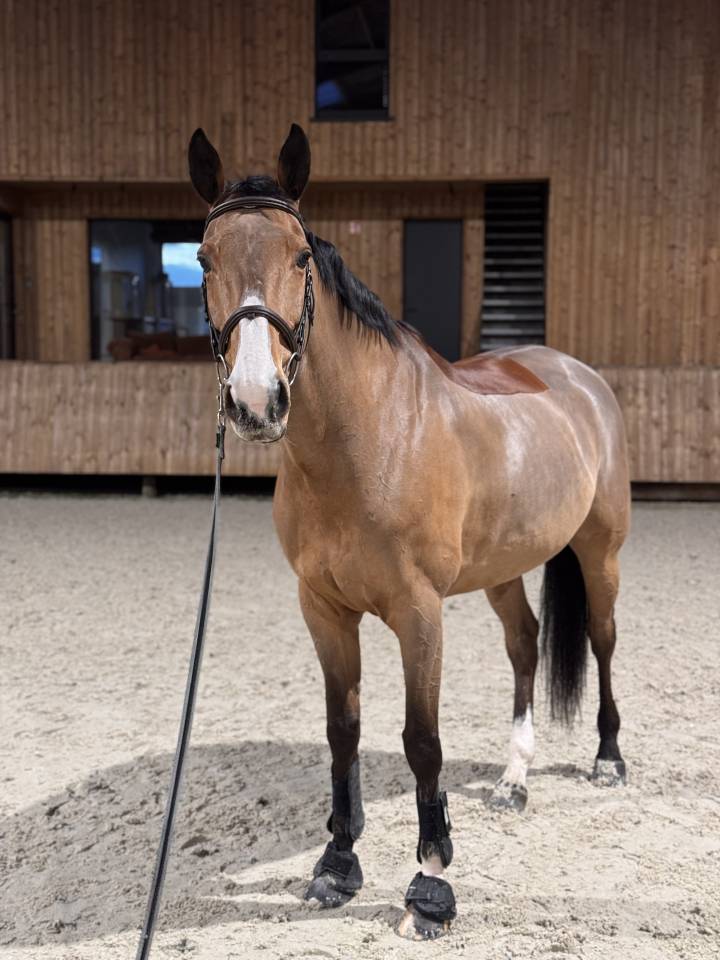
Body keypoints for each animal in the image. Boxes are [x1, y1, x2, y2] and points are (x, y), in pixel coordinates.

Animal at [188, 123, 630, 940]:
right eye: (203, 259)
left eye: (300, 256)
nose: (257, 401)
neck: (368, 441)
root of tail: (578, 377)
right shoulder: (324, 611)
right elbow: (344, 730)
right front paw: (337, 865)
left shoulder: (419, 613)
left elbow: (421, 741)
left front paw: (430, 885)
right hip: (502, 568)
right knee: (525, 645)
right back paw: (514, 779)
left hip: (600, 552)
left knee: (604, 641)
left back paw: (609, 760)